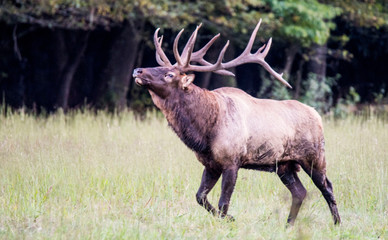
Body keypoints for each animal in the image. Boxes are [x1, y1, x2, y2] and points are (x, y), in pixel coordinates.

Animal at [133, 19, 340, 225]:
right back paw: (288, 225)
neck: (204, 134)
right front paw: (229, 218)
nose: (138, 70)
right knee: (299, 192)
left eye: (170, 75)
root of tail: (317, 114)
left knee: (327, 187)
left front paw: (229, 220)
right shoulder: (210, 164)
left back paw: (336, 223)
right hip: (284, 164)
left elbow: (223, 202)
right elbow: (200, 196)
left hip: (314, 156)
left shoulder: (232, 160)